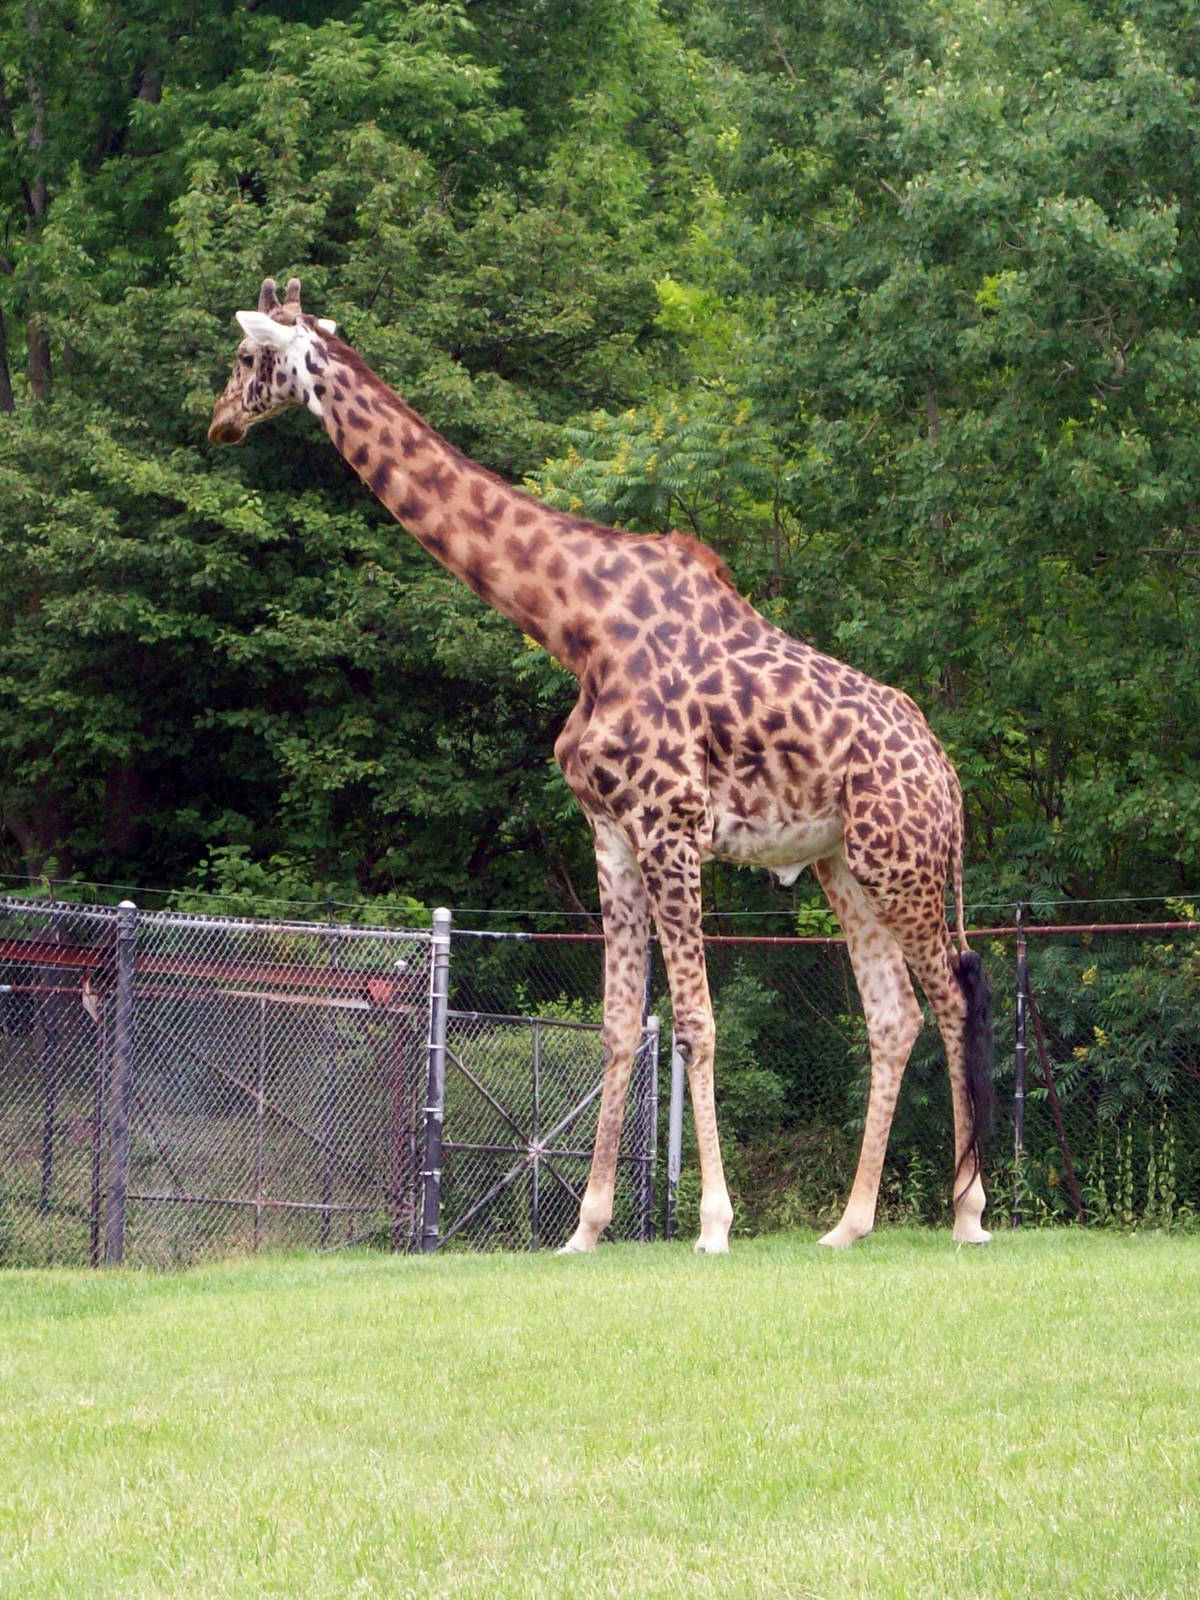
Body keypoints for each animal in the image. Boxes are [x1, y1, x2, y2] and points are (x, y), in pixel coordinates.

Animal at [209, 276, 994, 1254]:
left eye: (247, 357)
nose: (218, 423)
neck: (572, 622)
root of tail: (946, 773)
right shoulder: (611, 832)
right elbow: (621, 1024)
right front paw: (585, 1229)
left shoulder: (671, 824)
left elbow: (694, 1020)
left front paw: (713, 1223)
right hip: (841, 864)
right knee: (894, 1015)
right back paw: (848, 1226)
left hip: (903, 862)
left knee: (955, 996)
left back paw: (969, 1214)